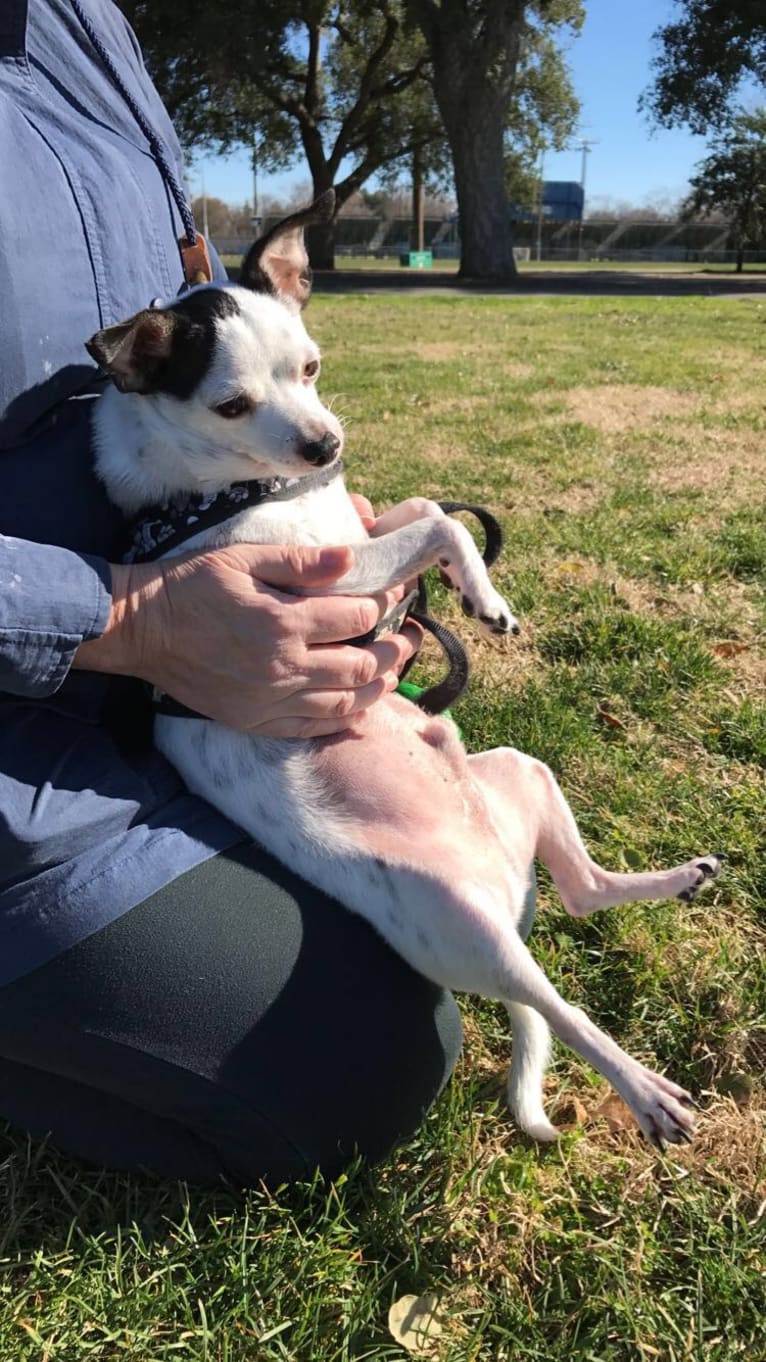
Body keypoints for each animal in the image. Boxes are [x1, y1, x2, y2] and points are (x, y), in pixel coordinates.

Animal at [86, 194, 719, 1149]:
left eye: (312, 366)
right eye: (231, 405)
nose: (326, 444)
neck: (239, 489)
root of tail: (505, 888)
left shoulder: (356, 531)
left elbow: (423, 509)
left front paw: (476, 588)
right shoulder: (330, 579)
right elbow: (436, 524)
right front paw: (484, 592)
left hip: (523, 776)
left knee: (586, 891)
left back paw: (678, 879)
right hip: (463, 932)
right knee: (565, 1008)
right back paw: (644, 1090)